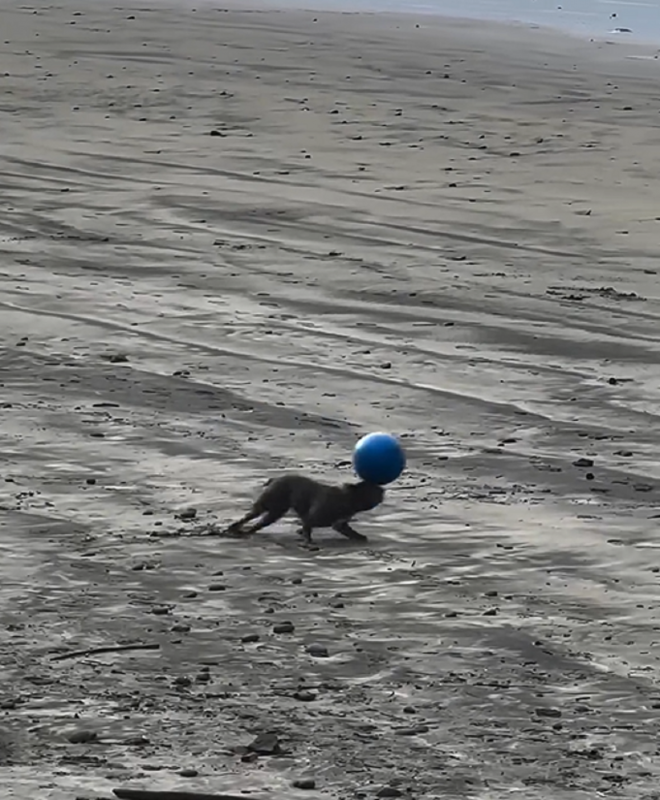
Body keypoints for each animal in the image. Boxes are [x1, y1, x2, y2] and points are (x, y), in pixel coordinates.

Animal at [226, 476, 384, 544]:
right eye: (374, 490)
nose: (383, 490)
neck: (350, 498)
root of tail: (275, 479)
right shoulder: (312, 518)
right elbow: (308, 529)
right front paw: (307, 541)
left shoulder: (341, 524)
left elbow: (349, 531)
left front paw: (359, 537)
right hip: (269, 503)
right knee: (251, 515)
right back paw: (234, 527)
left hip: (275, 512)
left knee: (260, 523)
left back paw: (245, 531)